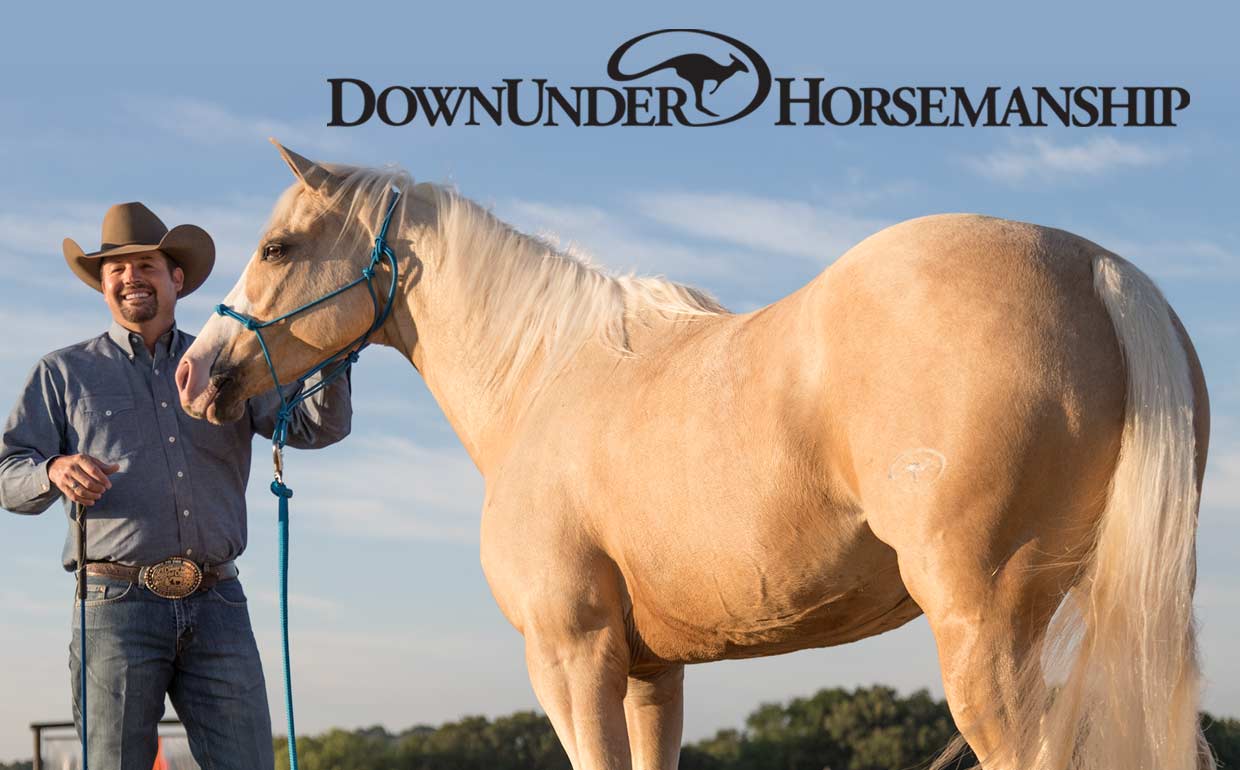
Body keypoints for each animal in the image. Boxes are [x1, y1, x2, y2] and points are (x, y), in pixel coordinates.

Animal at [176, 142, 1212, 770]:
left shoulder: (571, 656)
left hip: (985, 627)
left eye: (278, 245)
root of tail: (1094, 266)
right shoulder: (649, 670)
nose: (196, 375)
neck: (544, 376)